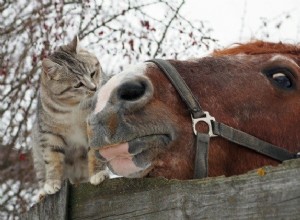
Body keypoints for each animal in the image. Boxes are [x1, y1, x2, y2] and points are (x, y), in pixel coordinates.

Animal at [31, 36, 108, 198]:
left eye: (92, 73)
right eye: (78, 85)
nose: (94, 88)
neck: (73, 108)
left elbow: (95, 153)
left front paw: (98, 173)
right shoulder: (49, 133)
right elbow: (52, 159)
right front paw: (52, 182)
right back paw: (42, 192)